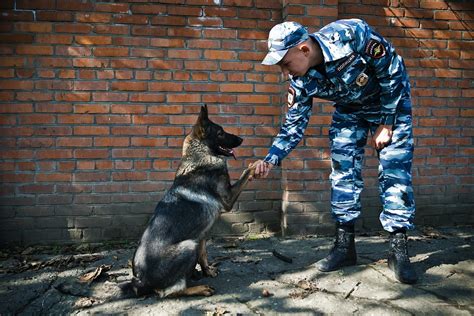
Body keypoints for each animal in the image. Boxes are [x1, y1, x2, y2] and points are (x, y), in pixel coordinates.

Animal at [130, 105, 256, 298]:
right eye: (220, 133)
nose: (241, 139)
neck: (200, 156)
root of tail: (141, 279)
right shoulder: (228, 199)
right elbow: (245, 173)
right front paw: (257, 165)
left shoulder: (202, 235)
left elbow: (204, 255)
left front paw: (207, 270)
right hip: (189, 246)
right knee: (170, 291)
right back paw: (200, 288)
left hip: (194, 242)